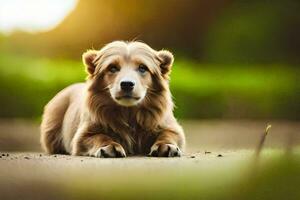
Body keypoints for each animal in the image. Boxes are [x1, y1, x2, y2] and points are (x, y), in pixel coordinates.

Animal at [39, 40, 185, 157]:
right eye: (113, 68)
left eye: (142, 68)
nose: (127, 84)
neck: (129, 112)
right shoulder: (82, 135)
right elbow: (99, 136)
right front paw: (108, 146)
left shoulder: (170, 126)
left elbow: (169, 133)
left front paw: (165, 145)